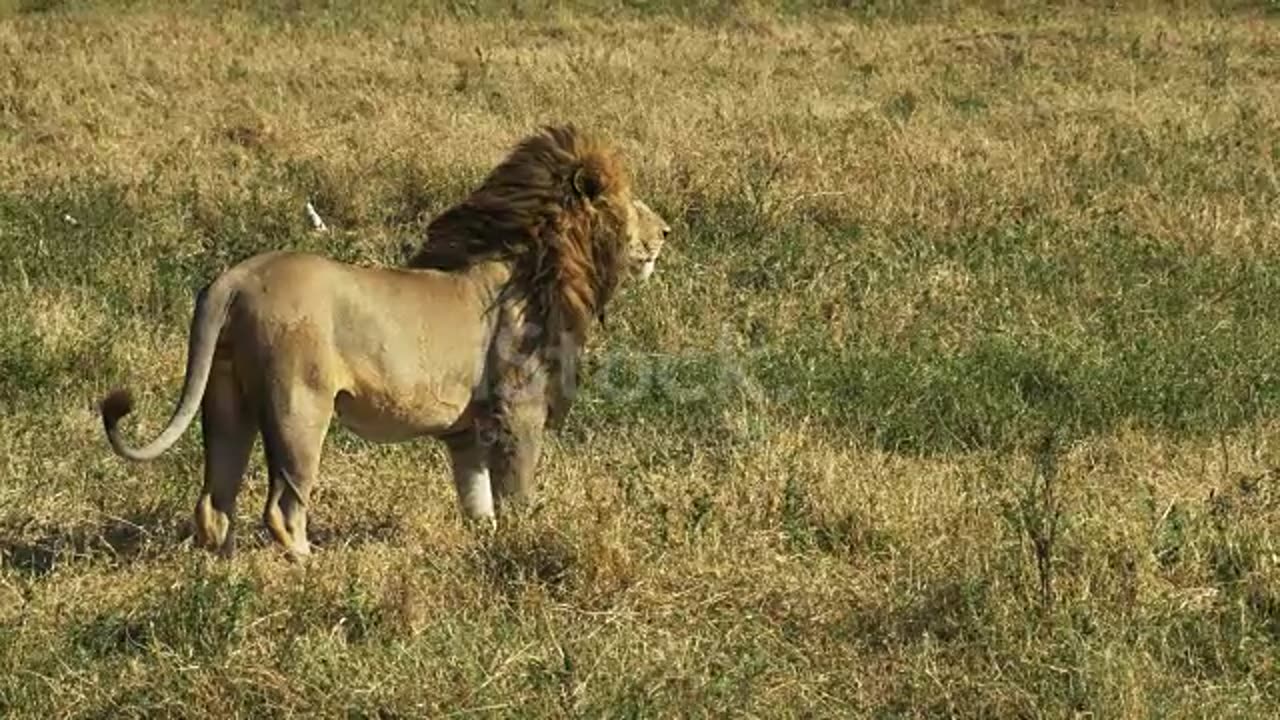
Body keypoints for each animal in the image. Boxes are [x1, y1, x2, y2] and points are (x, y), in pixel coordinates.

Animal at [99, 126, 665, 558]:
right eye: (629, 201)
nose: (664, 231)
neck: (538, 263)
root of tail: (233, 279)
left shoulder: (468, 429)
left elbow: (476, 498)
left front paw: (483, 542)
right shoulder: (516, 409)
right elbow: (517, 491)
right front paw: (525, 538)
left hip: (226, 401)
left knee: (213, 504)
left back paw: (225, 570)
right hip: (299, 405)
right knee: (282, 506)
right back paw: (309, 565)